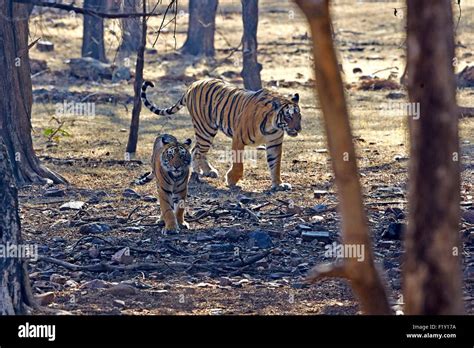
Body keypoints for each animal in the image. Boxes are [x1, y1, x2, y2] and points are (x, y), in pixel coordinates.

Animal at [142, 78, 304, 190]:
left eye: (299, 116)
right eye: (288, 116)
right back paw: (196, 174)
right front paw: (232, 180)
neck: (273, 126)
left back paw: (207, 172)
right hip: (205, 129)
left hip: (207, 131)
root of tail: (193, 84)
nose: (298, 128)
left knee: (196, 150)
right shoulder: (238, 138)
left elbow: (275, 164)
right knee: (197, 151)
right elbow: (238, 163)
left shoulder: (274, 143)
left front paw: (278, 184)